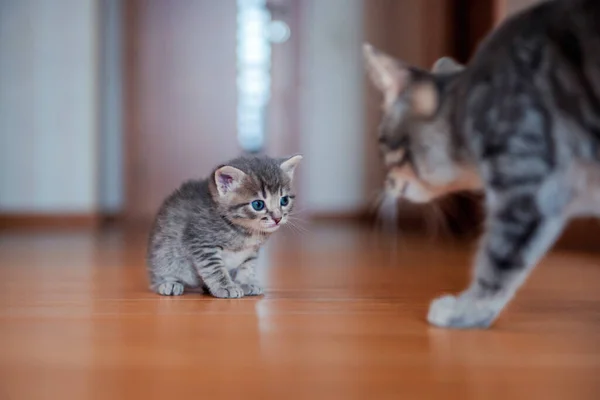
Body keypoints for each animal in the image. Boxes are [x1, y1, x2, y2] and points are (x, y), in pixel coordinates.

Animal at [148, 155, 302, 298]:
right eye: (258, 204)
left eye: (284, 200)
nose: (277, 218)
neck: (245, 231)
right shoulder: (201, 242)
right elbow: (215, 268)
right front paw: (226, 286)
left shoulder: (252, 251)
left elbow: (247, 266)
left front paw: (245, 282)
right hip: (165, 251)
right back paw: (169, 283)